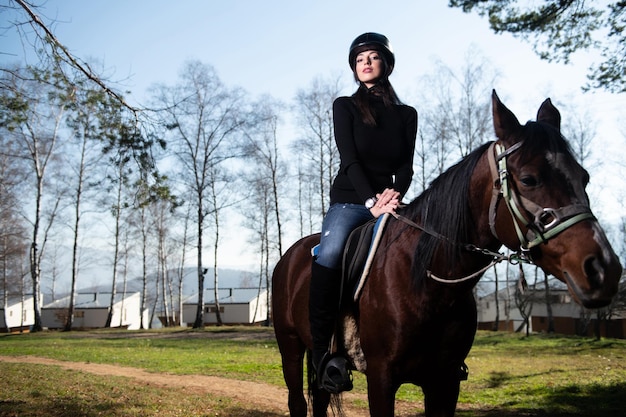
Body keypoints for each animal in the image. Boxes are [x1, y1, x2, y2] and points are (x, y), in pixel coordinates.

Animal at [270, 89, 620, 414]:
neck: (427, 282)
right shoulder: (381, 378)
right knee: (298, 401)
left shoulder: (445, 381)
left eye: (584, 177)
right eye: (528, 178)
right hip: (290, 346)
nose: (604, 269)